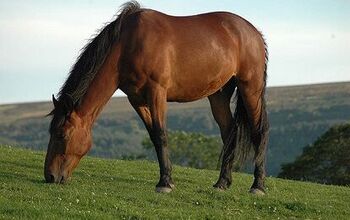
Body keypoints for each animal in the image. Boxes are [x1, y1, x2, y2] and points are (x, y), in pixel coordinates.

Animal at [43, 1, 268, 194]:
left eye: (62, 135)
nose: (50, 176)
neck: (128, 45)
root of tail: (254, 33)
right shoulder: (137, 99)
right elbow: (153, 136)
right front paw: (166, 179)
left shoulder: (157, 93)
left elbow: (161, 134)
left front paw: (165, 183)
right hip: (218, 94)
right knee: (229, 131)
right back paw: (222, 183)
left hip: (251, 89)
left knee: (259, 131)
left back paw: (257, 186)